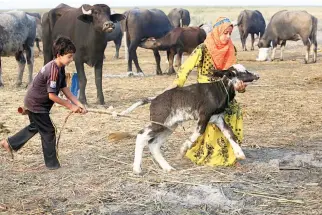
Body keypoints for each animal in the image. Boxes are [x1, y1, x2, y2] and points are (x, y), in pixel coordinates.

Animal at [121, 64, 260, 174]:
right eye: (243, 72)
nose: (257, 75)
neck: (220, 90)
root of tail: (154, 99)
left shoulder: (218, 118)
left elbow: (230, 134)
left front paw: (240, 154)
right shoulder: (204, 115)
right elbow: (198, 133)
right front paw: (182, 150)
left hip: (169, 126)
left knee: (153, 144)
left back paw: (167, 168)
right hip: (158, 122)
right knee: (141, 135)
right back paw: (137, 169)